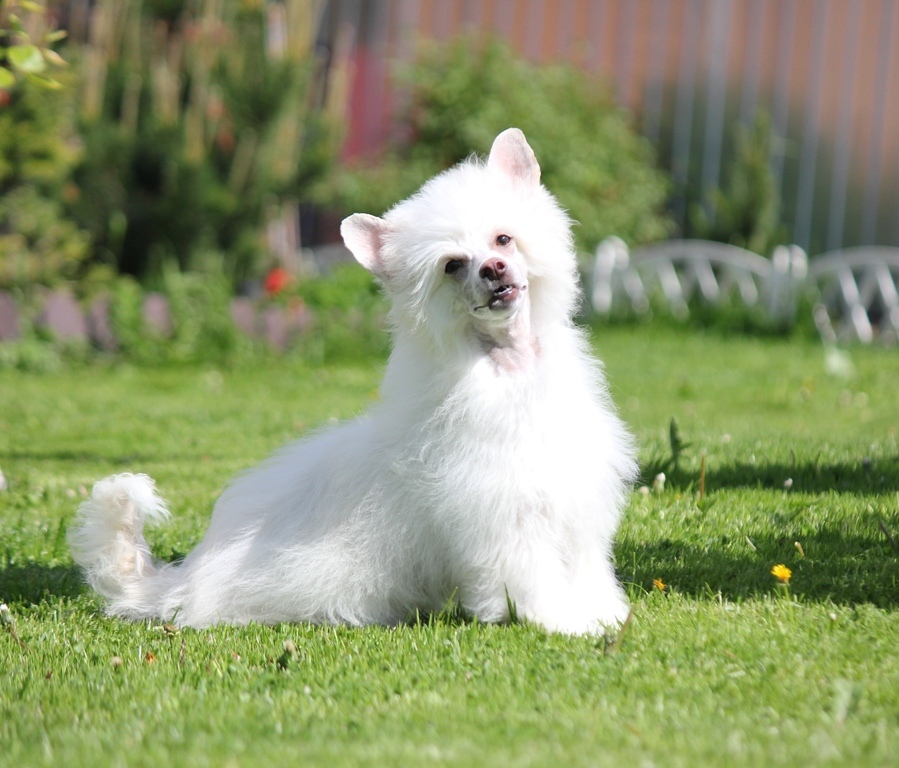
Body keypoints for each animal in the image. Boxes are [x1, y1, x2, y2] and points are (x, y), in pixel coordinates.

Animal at [67, 129, 636, 636]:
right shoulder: (507, 518)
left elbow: (584, 567)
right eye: (453, 266)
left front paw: (603, 612)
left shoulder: (574, 503)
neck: (507, 371)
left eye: (503, 238)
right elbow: (534, 578)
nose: (493, 269)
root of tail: (185, 580)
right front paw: (561, 622)